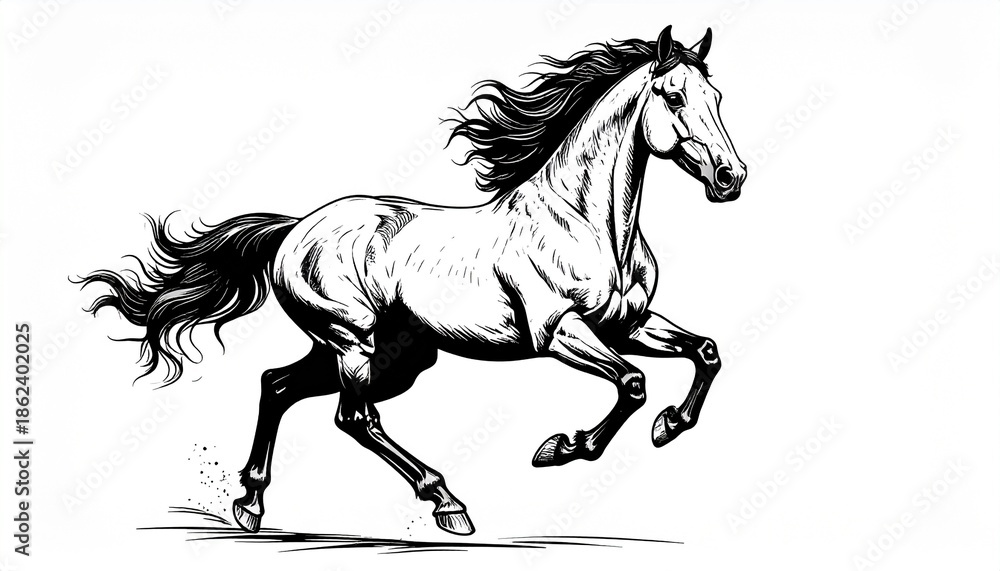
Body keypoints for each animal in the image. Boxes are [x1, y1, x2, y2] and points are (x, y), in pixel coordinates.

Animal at [77, 25, 745, 537]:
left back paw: (250, 503)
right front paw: (561, 448)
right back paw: (447, 503)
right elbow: (632, 384)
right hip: (353, 341)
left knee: (278, 384)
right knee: (354, 418)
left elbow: (706, 352)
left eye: (717, 96)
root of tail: (294, 230)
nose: (730, 178)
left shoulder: (627, 325)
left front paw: (669, 426)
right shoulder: (558, 333)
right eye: (675, 97)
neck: (583, 222)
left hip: (392, 355)